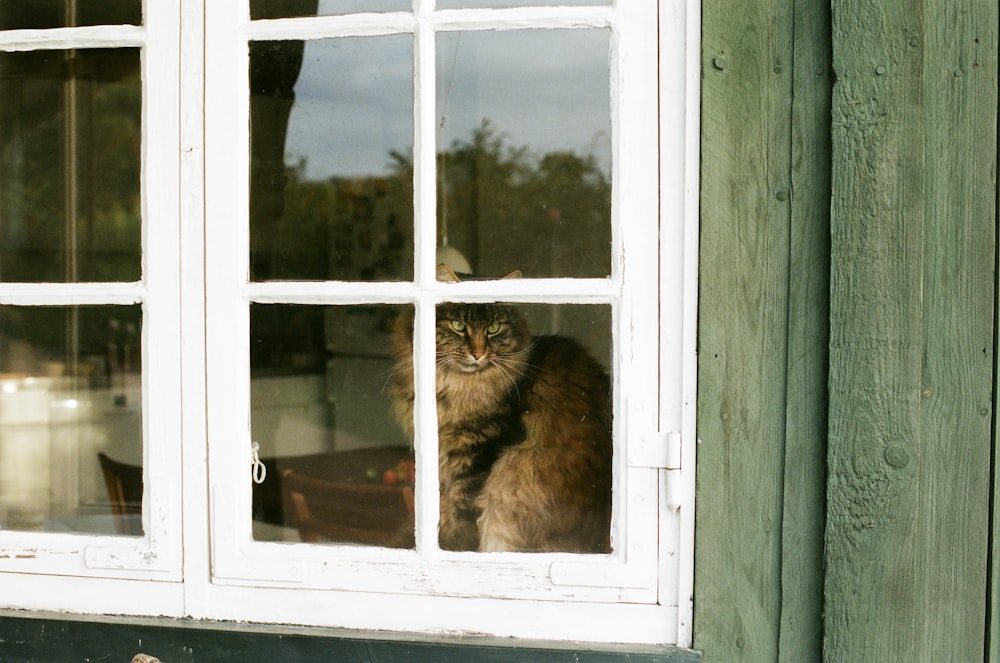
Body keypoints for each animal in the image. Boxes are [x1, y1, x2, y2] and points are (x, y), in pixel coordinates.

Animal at [388, 266, 608, 556]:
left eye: (493, 328)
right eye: (458, 326)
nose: (478, 353)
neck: (456, 388)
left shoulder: (481, 453)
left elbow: (462, 513)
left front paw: (454, 548)